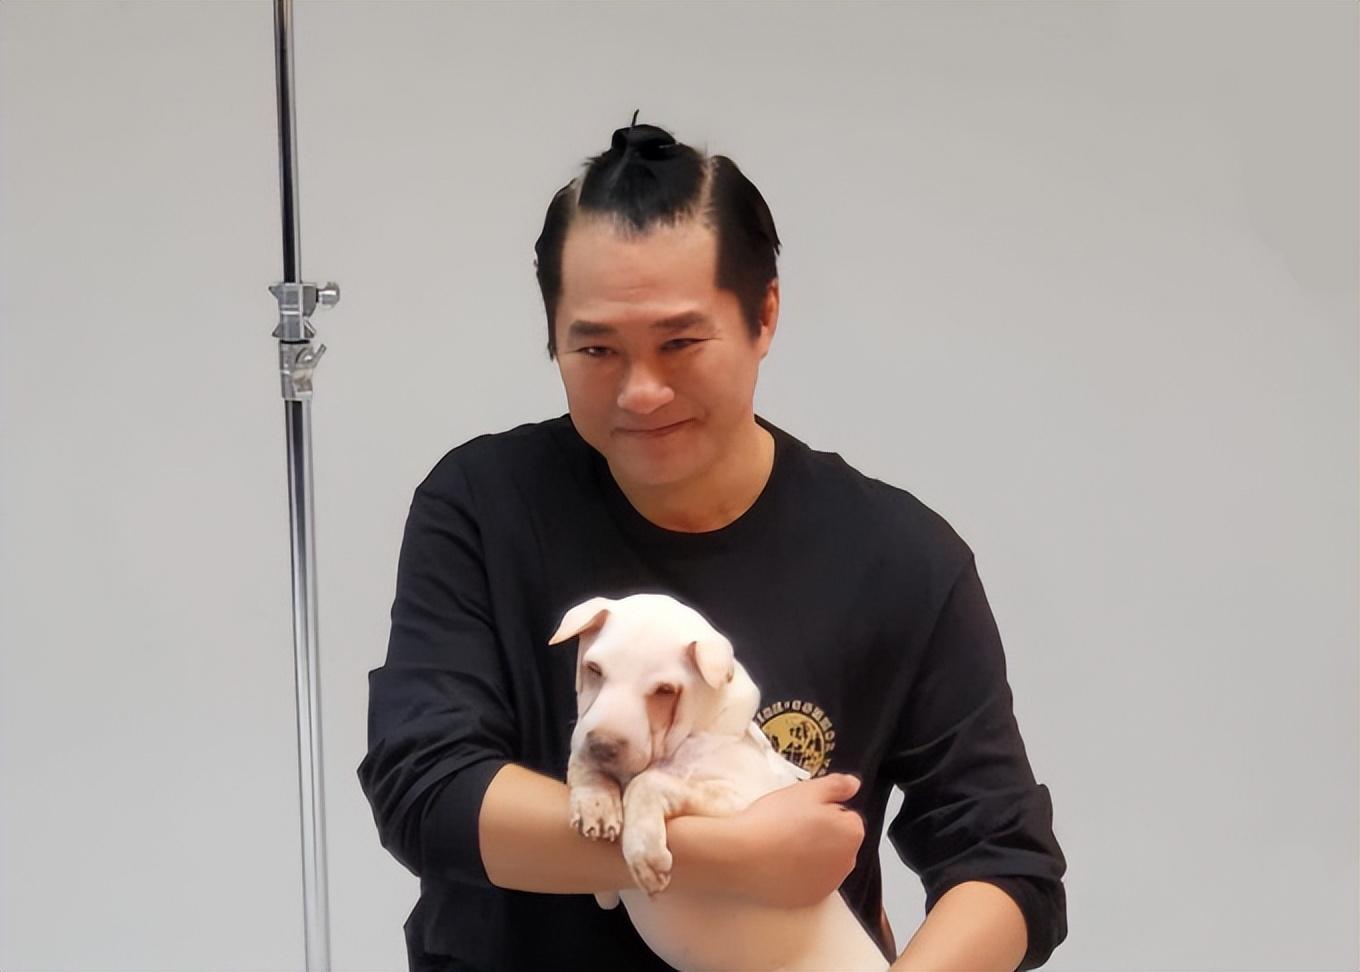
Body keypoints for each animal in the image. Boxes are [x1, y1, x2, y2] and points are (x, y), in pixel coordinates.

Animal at [548, 593, 890, 972]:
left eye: (665, 691)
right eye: (593, 669)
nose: (602, 746)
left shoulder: (739, 800)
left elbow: (648, 782)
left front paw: (644, 855)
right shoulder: (605, 893)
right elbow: (580, 764)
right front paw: (594, 801)